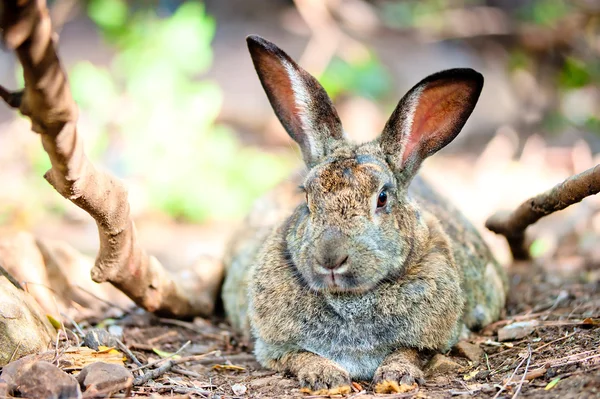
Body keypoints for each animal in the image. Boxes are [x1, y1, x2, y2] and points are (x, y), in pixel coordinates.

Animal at [220, 35, 506, 396]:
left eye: (382, 198)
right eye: (307, 196)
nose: (330, 258)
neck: (349, 298)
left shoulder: (437, 339)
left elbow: (409, 351)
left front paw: (396, 376)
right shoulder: (273, 347)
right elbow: (300, 356)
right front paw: (326, 378)